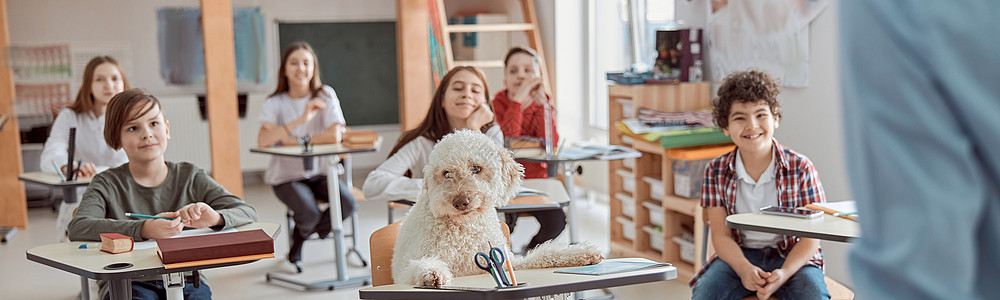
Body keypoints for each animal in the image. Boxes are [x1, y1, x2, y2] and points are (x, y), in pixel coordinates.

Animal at [392, 130, 600, 288]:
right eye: (447, 174)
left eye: (476, 169)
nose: (460, 202)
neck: (466, 228)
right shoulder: (406, 269)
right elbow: (417, 267)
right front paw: (431, 272)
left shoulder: (510, 263)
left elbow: (544, 254)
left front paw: (581, 253)